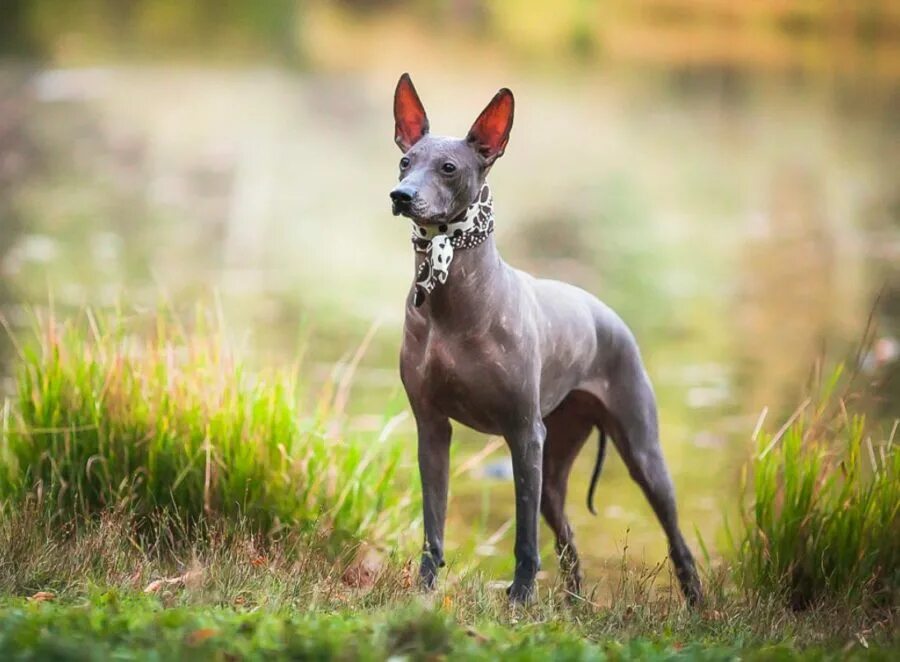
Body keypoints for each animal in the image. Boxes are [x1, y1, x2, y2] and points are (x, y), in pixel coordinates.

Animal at [390, 74, 708, 608]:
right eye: (405, 161)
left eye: (449, 168)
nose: (401, 195)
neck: (452, 301)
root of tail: (607, 312)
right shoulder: (431, 429)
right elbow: (434, 523)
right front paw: (425, 591)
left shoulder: (523, 434)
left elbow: (524, 538)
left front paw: (519, 599)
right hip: (554, 466)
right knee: (568, 539)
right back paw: (574, 602)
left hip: (640, 453)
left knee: (675, 536)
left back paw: (697, 603)